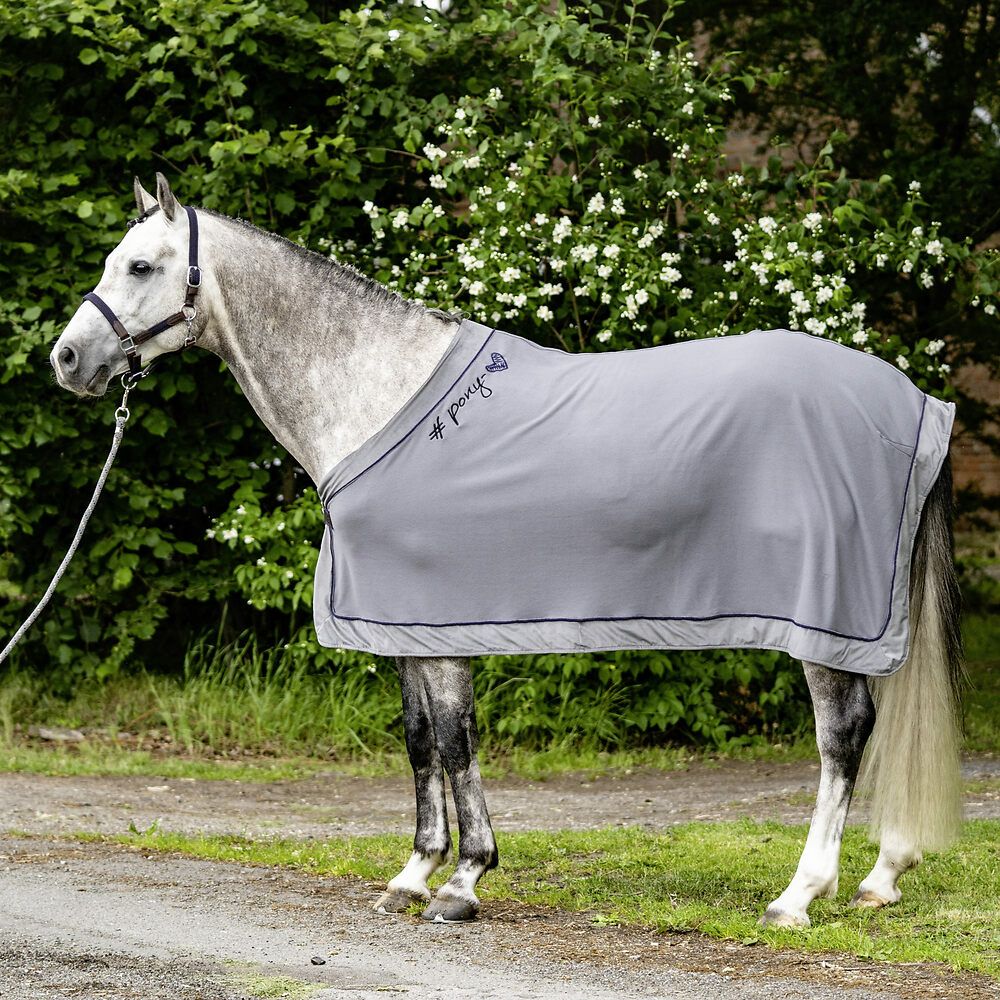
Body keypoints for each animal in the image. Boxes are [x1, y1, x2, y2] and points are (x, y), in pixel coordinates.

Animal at [50, 174, 963, 928]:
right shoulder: (399, 626)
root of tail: (913, 400)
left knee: (843, 734)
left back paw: (799, 894)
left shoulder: (438, 623)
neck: (377, 394)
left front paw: (463, 882)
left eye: (140, 266)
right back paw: (882, 877)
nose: (66, 359)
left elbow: (456, 742)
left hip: (822, 621)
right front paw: (413, 874)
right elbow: (420, 740)